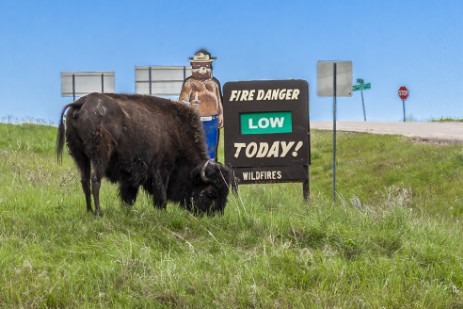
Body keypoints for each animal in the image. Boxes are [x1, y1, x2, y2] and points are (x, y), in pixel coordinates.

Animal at [56, 92, 234, 215]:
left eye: (226, 192)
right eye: (211, 192)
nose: (215, 215)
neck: (176, 132)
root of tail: (82, 102)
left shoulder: (129, 176)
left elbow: (128, 196)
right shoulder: (162, 171)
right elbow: (161, 194)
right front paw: (162, 211)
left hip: (80, 156)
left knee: (85, 181)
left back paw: (89, 211)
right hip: (100, 155)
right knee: (95, 180)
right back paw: (99, 212)